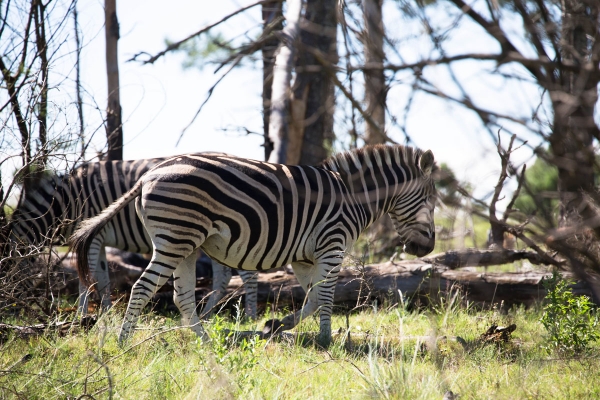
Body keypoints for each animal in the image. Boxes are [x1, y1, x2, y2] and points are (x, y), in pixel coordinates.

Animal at [4, 156, 258, 318]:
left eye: (7, 274)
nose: (10, 311)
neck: (65, 201)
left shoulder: (93, 235)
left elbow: (87, 278)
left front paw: (81, 317)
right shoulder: (98, 239)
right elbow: (103, 278)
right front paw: (106, 314)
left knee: (247, 274)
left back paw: (250, 317)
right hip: (212, 239)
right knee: (224, 276)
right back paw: (206, 315)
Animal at [71, 145, 436, 346]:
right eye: (432, 201)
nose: (428, 250)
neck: (352, 196)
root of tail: (149, 174)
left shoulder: (306, 258)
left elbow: (314, 298)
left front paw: (278, 325)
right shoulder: (332, 246)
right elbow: (326, 298)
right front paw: (326, 340)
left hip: (186, 244)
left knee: (182, 297)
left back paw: (206, 344)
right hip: (176, 237)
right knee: (143, 288)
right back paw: (122, 342)